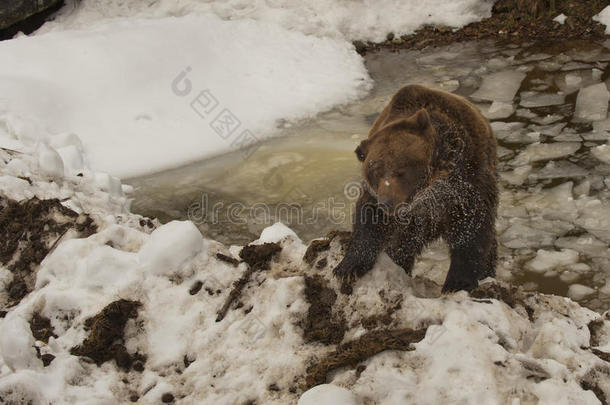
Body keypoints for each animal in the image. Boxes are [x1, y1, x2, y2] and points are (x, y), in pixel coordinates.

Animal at [334, 84, 496, 290]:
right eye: (375, 172)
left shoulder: (466, 180)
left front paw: (457, 282)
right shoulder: (377, 195)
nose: (387, 203)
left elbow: (471, 226)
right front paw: (347, 268)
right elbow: (369, 219)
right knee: (403, 244)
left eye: (400, 171)